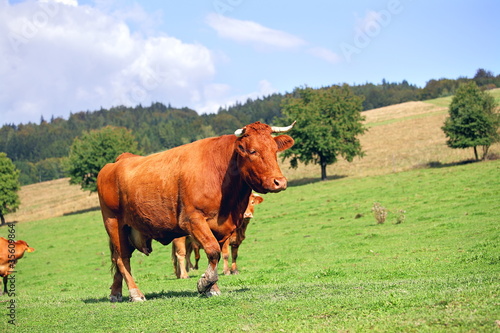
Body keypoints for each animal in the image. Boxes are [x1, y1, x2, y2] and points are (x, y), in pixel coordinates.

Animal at [95, 120, 294, 300]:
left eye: (274, 150)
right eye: (253, 151)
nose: (280, 182)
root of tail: (118, 161)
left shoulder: (221, 228)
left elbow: (216, 254)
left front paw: (212, 288)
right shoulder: (192, 220)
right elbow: (213, 251)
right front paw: (204, 283)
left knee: (118, 259)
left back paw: (115, 292)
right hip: (114, 223)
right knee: (122, 259)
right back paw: (135, 293)